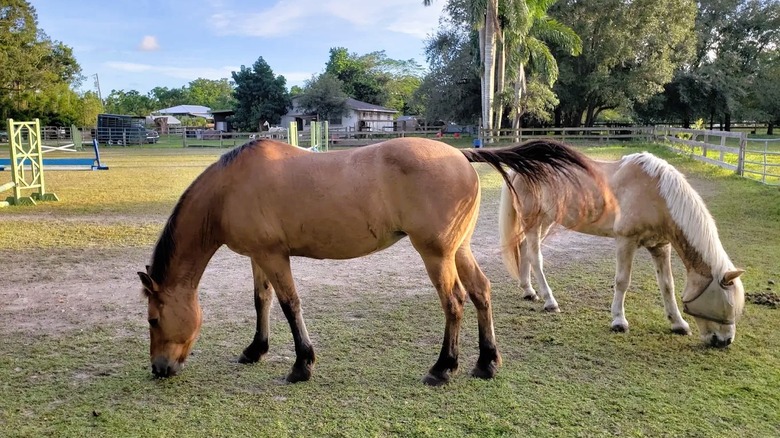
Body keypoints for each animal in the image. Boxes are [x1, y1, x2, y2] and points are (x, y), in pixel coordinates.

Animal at [137, 137, 598, 385]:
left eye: (153, 319)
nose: (159, 369)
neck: (230, 188)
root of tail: (461, 155)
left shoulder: (273, 256)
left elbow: (290, 305)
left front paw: (302, 365)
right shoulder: (259, 257)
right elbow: (262, 302)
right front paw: (256, 350)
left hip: (436, 255)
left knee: (454, 303)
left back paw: (443, 368)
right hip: (459, 251)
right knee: (481, 293)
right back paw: (486, 363)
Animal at [498, 149, 745, 348]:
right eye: (726, 305)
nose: (725, 341)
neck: (656, 193)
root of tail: (518, 169)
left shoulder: (660, 246)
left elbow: (667, 285)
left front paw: (678, 324)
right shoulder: (626, 241)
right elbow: (622, 281)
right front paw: (618, 321)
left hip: (546, 221)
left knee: (524, 249)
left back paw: (529, 291)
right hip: (534, 220)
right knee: (535, 257)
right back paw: (550, 301)